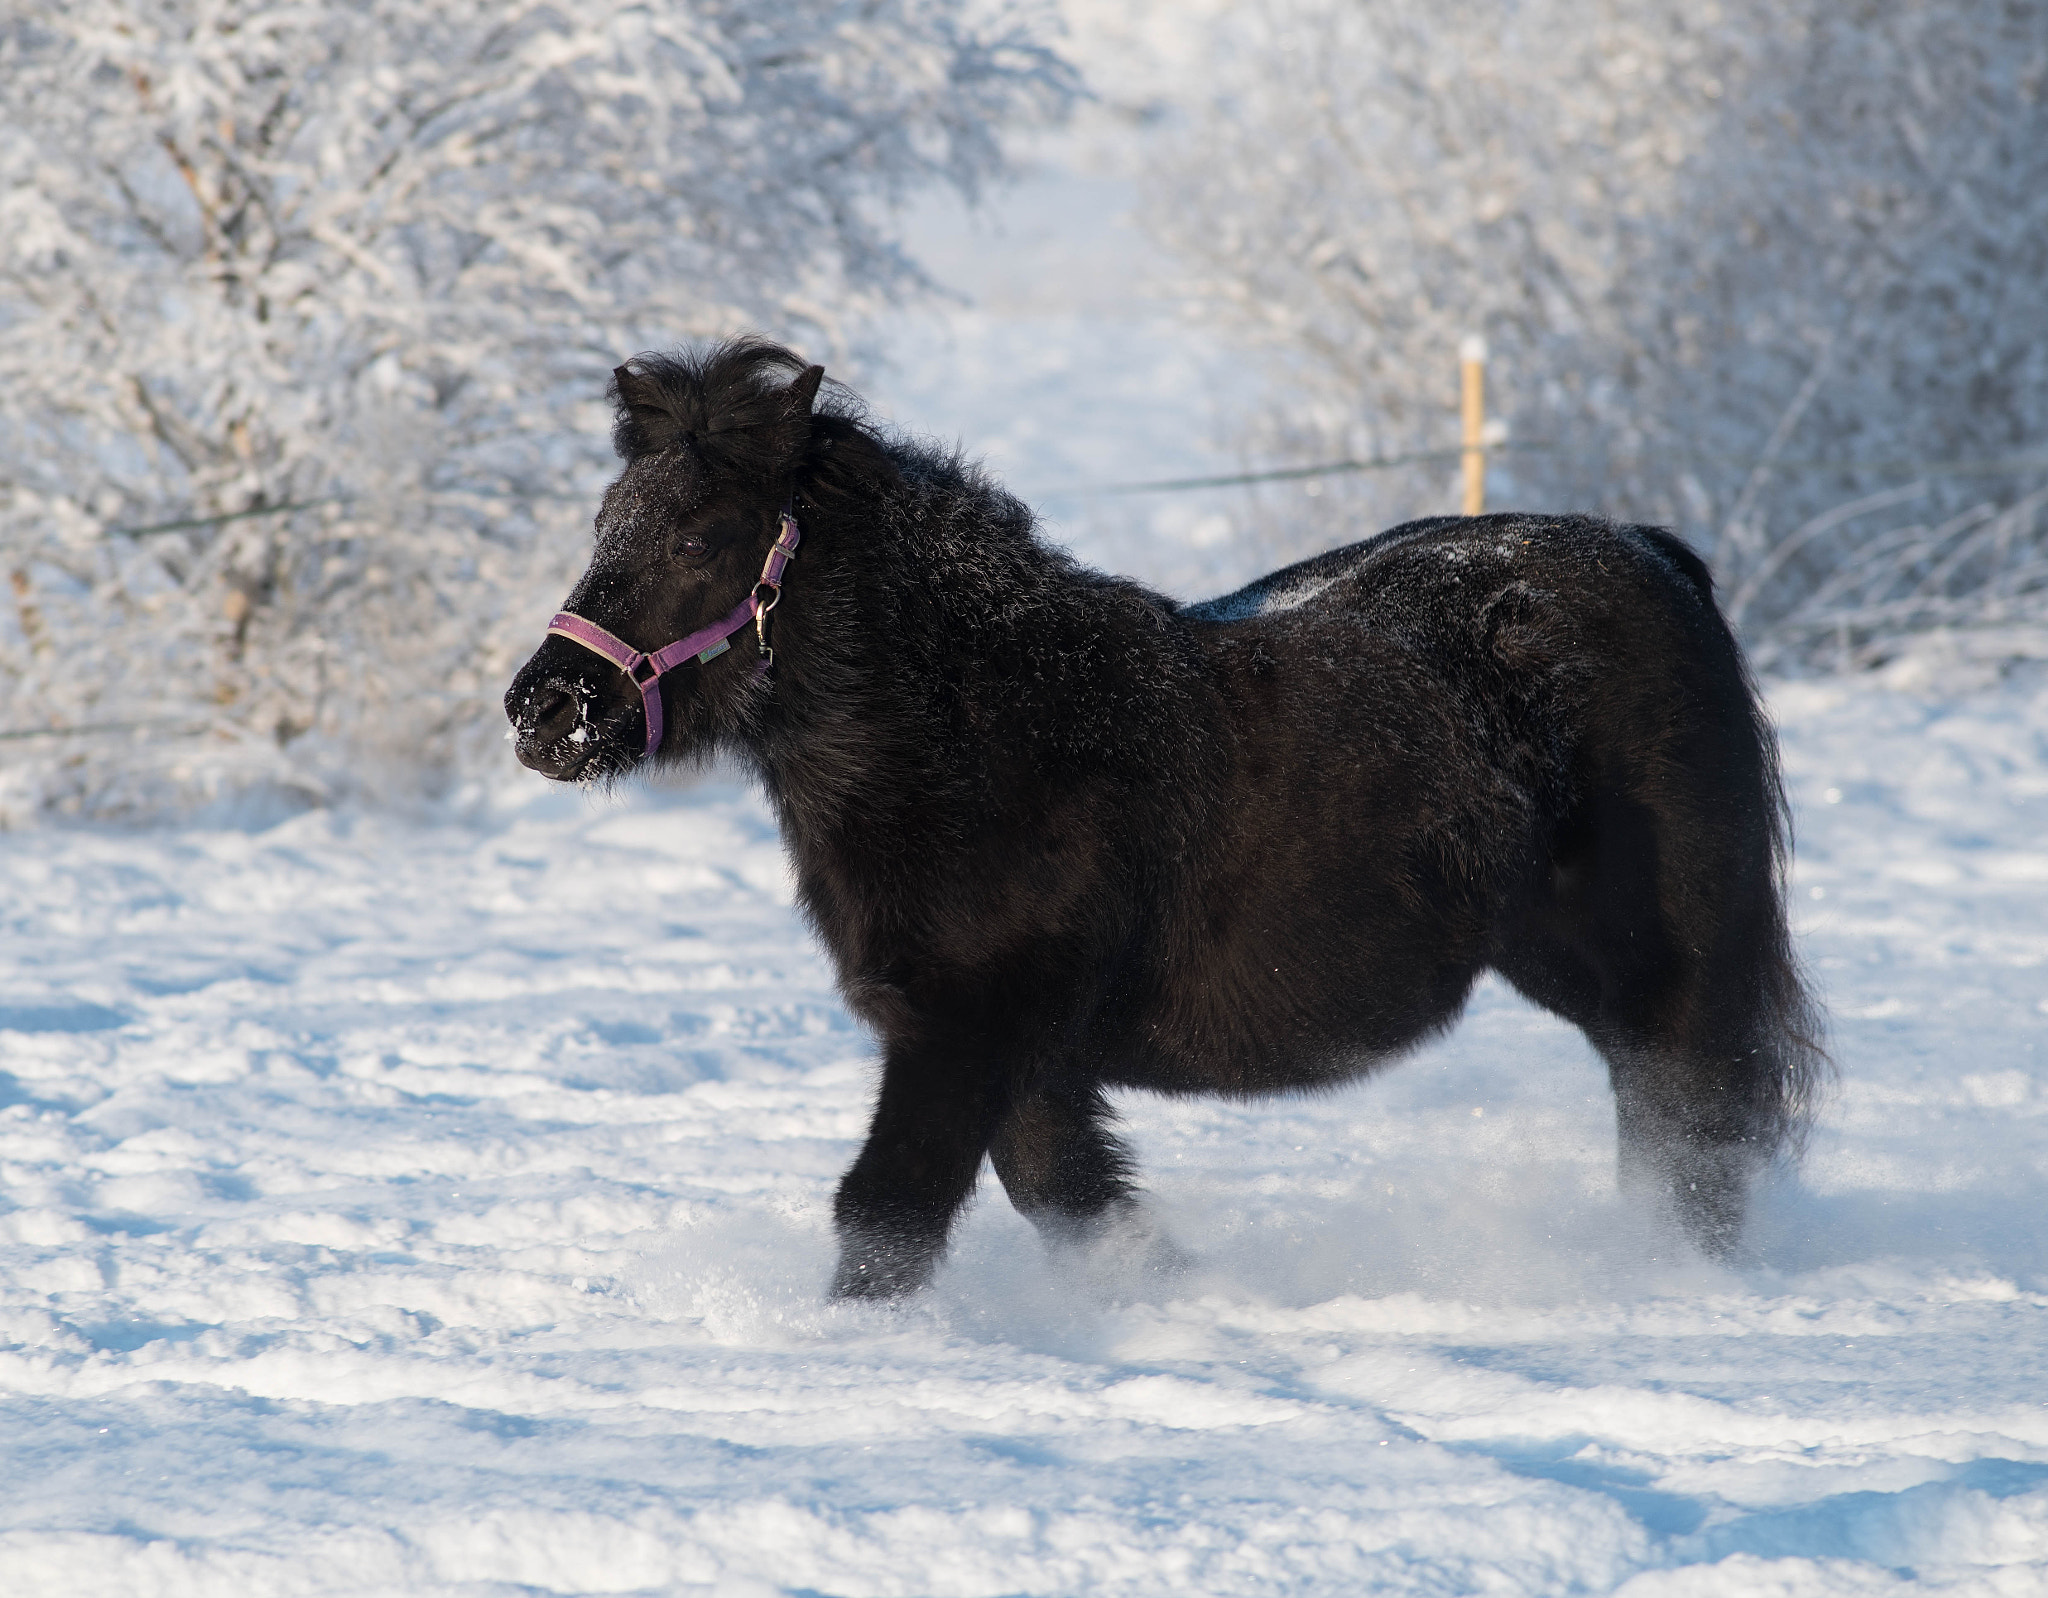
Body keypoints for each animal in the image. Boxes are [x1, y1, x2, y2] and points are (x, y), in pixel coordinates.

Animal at [512, 338, 1826, 1294]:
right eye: (603, 522)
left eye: (696, 536)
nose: (544, 708)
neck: (986, 729)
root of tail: (1649, 555)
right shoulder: (1013, 1056)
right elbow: (1073, 1204)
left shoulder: (962, 1032)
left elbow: (888, 1211)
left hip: (1662, 958)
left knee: (1693, 1121)